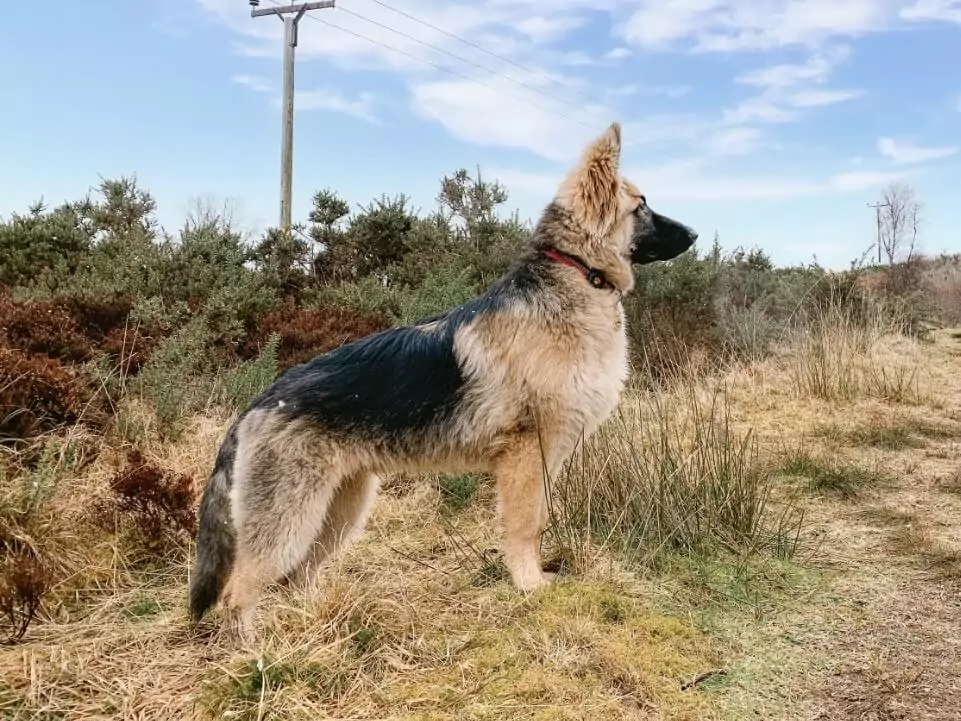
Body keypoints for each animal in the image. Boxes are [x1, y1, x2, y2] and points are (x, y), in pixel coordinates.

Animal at [188, 121, 696, 640]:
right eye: (642, 206)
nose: (696, 233)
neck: (577, 272)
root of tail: (255, 405)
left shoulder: (543, 459)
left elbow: (535, 521)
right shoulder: (526, 456)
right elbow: (526, 525)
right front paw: (530, 587)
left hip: (341, 511)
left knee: (299, 576)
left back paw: (314, 624)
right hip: (290, 520)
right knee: (240, 590)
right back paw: (256, 648)